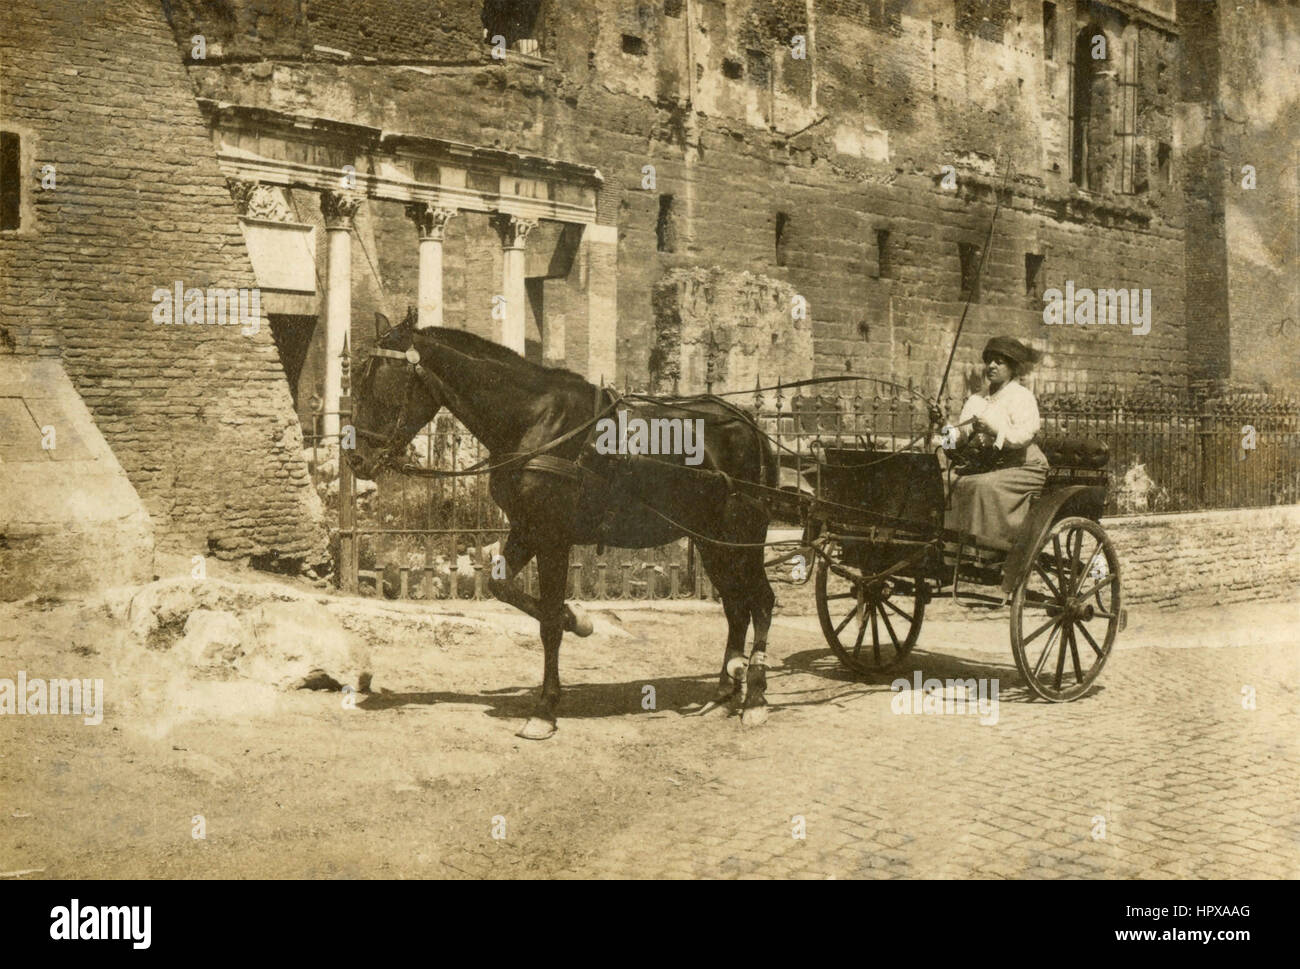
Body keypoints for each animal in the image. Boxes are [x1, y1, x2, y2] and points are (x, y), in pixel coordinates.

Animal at [345, 321, 774, 738]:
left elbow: (549, 622)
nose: (355, 458)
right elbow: (504, 588)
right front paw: (577, 619)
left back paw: (754, 698)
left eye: (377, 381)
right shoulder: (526, 529)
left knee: (762, 601)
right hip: (711, 541)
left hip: (741, 536)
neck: (534, 420)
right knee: (737, 607)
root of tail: (749, 425)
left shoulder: (553, 537)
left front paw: (545, 709)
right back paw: (724, 692)